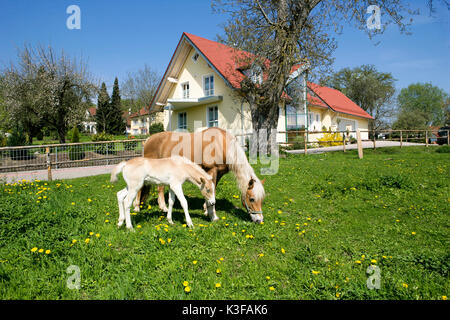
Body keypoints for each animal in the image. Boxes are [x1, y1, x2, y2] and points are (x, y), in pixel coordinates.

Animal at [135, 127, 266, 222]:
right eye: (252, 199)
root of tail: (148, 139)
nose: (259, 220)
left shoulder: (218, 173)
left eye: (262, 200)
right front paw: (213, 216)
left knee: (159, 187)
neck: (221, 145)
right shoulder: (211, 170)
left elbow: (212, 189)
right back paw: (139, 207)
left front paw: (206, 209)